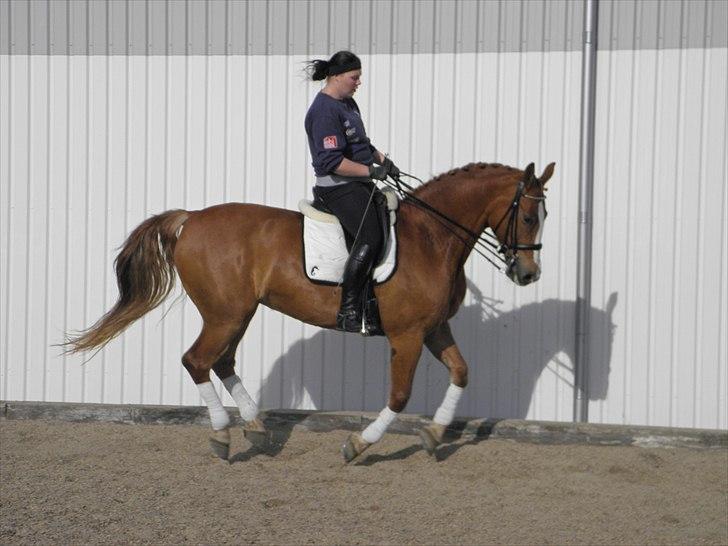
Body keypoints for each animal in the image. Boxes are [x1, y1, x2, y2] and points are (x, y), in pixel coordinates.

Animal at [65, 160, 556, 460]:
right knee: (197, 360)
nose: (529, 274)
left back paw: (257, 428)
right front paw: (360, 443)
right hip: (225, 314)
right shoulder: (408, 335)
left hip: (238, 313)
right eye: (530, 217)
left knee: (222, 361)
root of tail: (192, 218)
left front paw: (434, 435)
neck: (433, 238)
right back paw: (223, 433)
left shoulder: (434, 329)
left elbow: (461, 372)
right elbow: (400, 394)